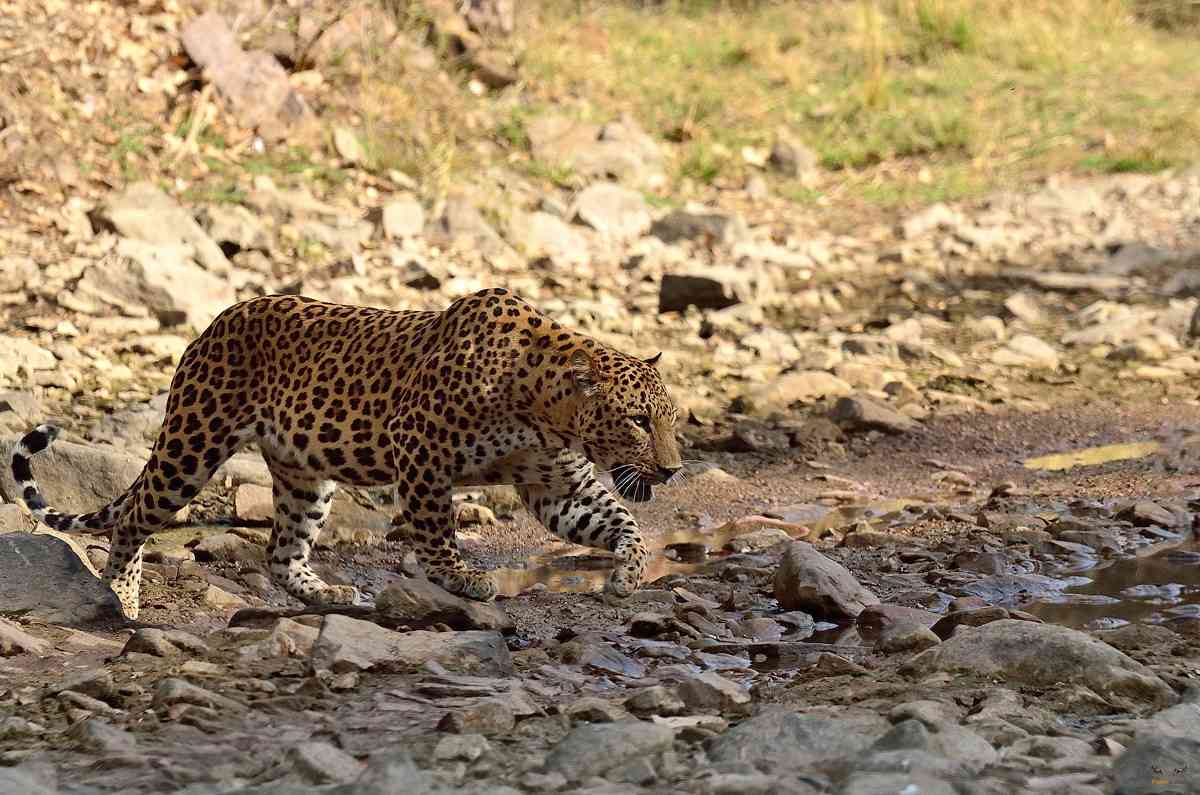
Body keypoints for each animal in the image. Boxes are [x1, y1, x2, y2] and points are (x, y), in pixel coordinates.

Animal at [10, 288, 684, 621]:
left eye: (671, 419)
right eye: (638, 420)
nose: (674, 470)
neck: (547, 410)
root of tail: (212, 324)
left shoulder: (556, 487)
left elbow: (622, 521)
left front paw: (627, 574)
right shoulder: (419, 444)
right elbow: (435, 527)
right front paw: (462, 577)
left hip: (305, 475)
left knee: (282, 553)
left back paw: (330, 596)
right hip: (192, 444)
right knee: (131, 516)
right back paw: (121, 601)